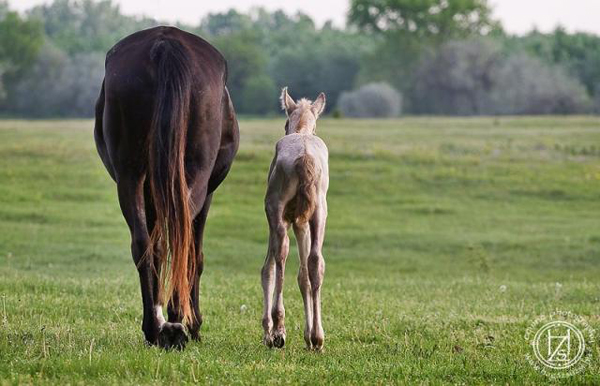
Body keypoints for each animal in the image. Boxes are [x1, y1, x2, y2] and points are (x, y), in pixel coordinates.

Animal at [94, 25, 239, 348]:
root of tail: (165, 45)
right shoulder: (207, 194)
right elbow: (195, 254)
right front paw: (191, 322)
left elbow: (156, 246)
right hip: (195, 177)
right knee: (181, 238)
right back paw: (178, 324)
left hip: (131, 176)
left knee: (143, 243)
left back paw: (155, 326)